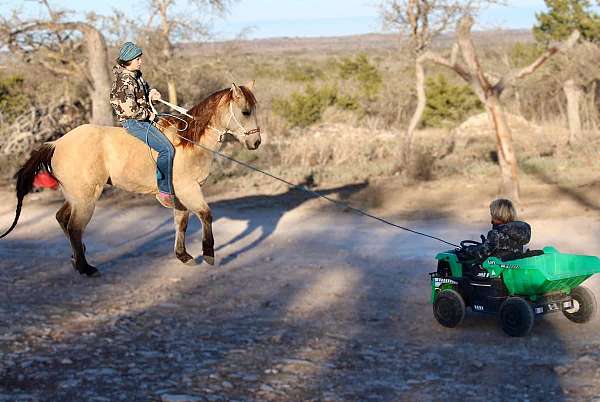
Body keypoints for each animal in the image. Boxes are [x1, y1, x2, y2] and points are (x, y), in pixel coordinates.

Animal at [0, 81, 262, 276]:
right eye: (245, 112)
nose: (256, 142)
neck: (187, 141)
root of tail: (56, 143)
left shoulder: (179, 195)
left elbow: (181, 222)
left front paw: (183, 255)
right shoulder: (189, 189)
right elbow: (206, 215)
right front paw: (208, 254)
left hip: (75, 196)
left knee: (62, 219)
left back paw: (77, 259)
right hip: (86, 198)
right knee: (74, 227)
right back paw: (86, 267)